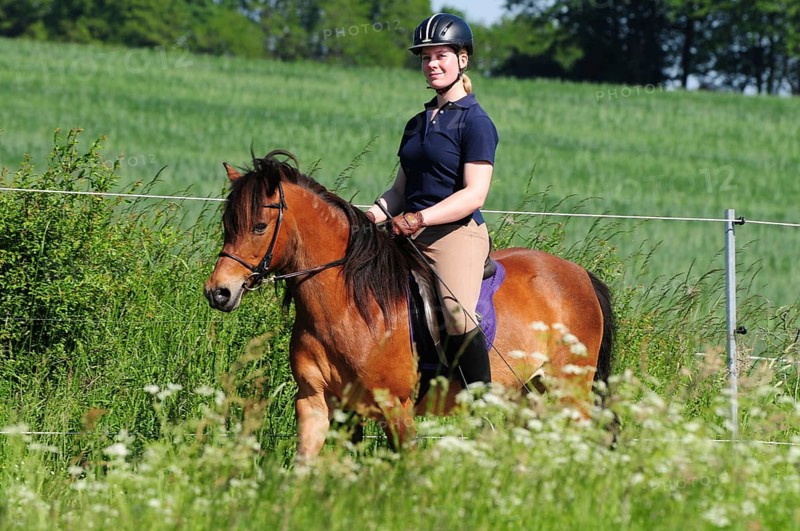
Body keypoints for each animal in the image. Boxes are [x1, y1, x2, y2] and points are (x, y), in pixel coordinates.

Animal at [204, 150, 615, 460]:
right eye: (227, 224)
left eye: (259, 226)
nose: (218, 292)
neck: (351, 307)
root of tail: (579, 275)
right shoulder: (318, 402)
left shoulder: (395, 408)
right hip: (528, 394)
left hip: (569, 391)